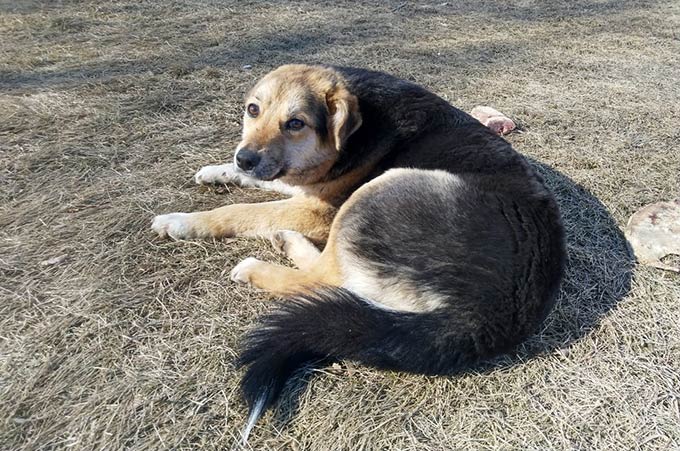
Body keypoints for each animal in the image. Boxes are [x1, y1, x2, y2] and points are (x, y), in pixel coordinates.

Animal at [151, 64, 564, 442]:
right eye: (253, 110)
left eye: (296, 123)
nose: (245, 157)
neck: (355, 127)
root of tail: (499, 312)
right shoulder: (302, 184)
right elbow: (267, 183)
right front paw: (217, 170)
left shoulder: (318, 210)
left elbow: (239, 211)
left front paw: (183, 221)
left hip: (380, 189)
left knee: (321, 278)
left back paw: (264, 261)